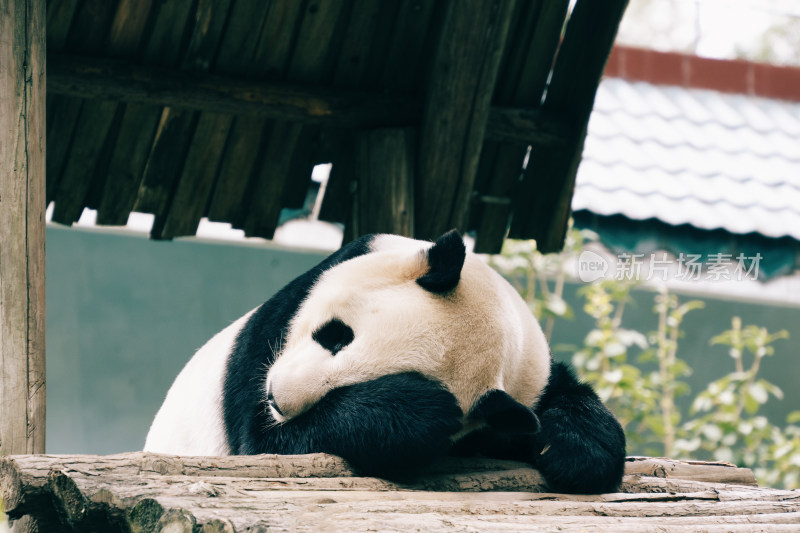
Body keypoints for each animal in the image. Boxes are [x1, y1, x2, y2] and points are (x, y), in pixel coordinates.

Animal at [145, 228, 624, 490]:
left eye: (355, 386)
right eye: (336, 335)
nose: (277, 397)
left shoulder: (528, 380)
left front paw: (581, 451)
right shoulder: (277, 328)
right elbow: (262, 443)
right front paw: (420, 411)